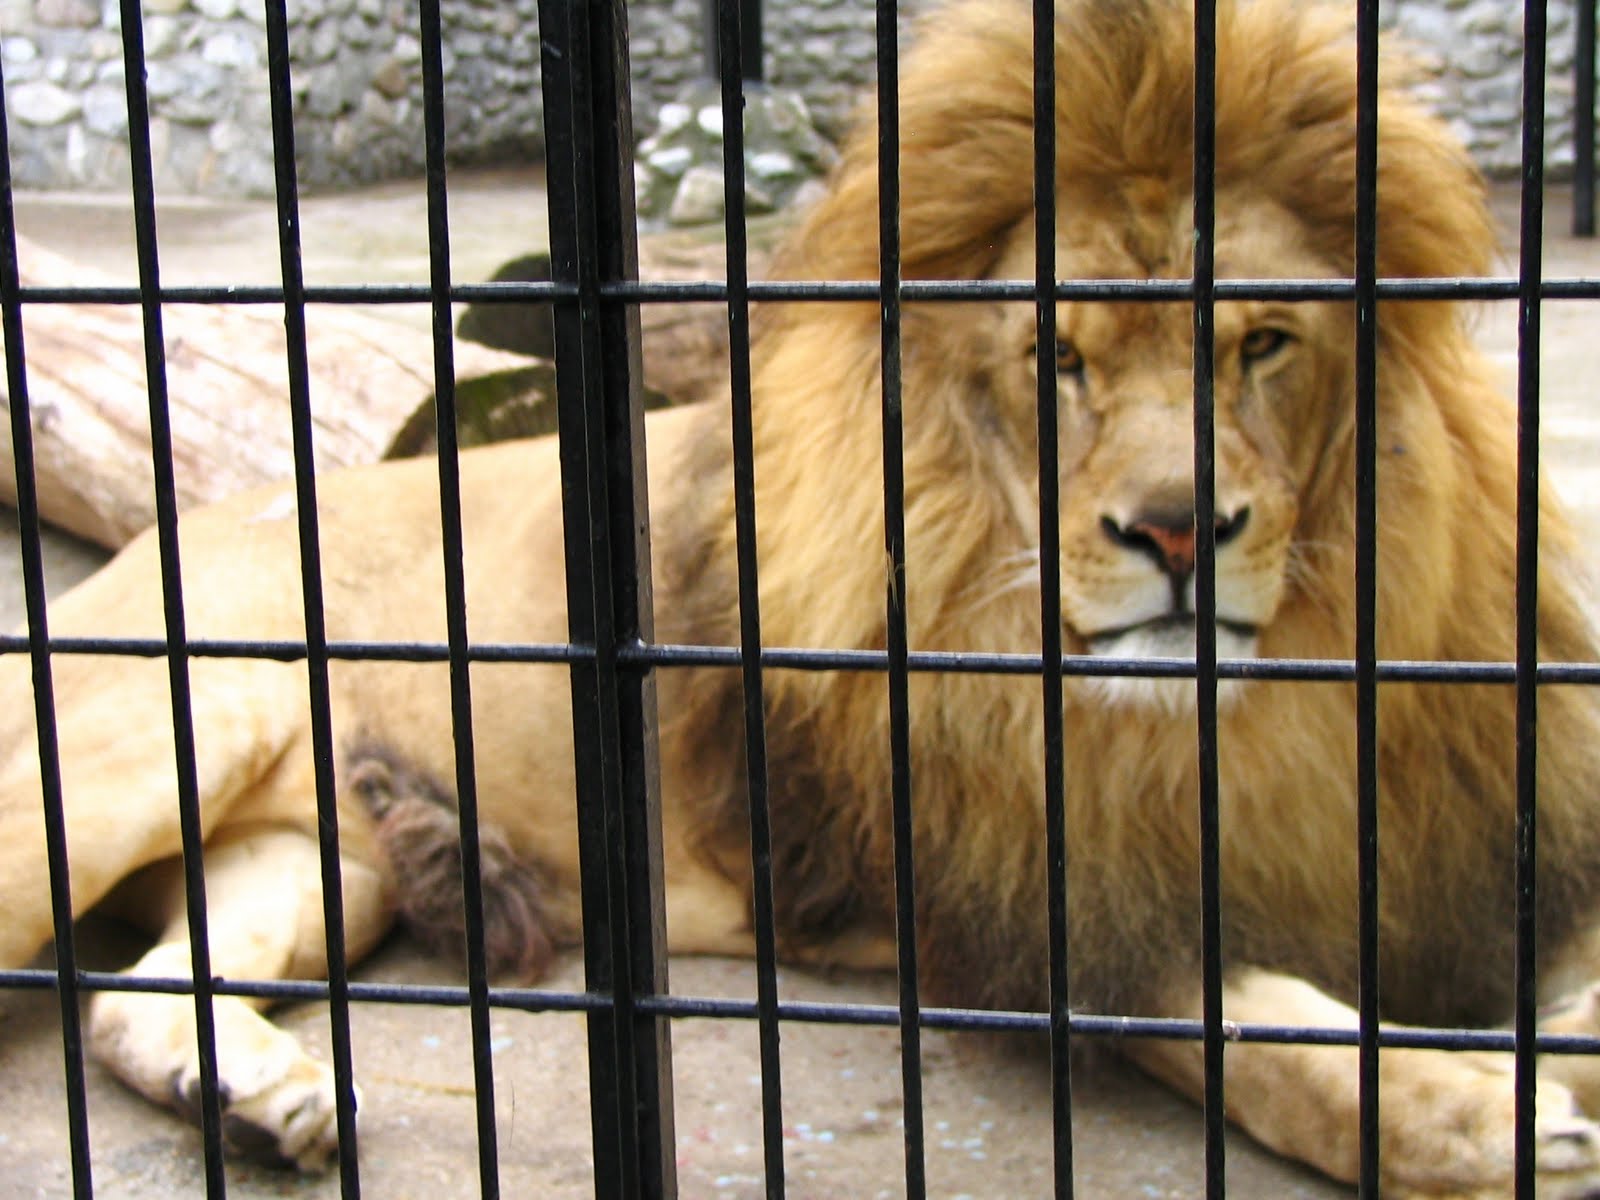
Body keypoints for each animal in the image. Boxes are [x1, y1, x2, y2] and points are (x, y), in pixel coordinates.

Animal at [9, 0, 1600, 1196]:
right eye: (1057, 362)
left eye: (1262, 345)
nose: (1176, 534)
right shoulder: (1011, 896)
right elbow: (1248, 1029)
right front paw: (1480, 1118)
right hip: (146, 748)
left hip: (318, 860)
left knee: (131, 996)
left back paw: (246, 1096)